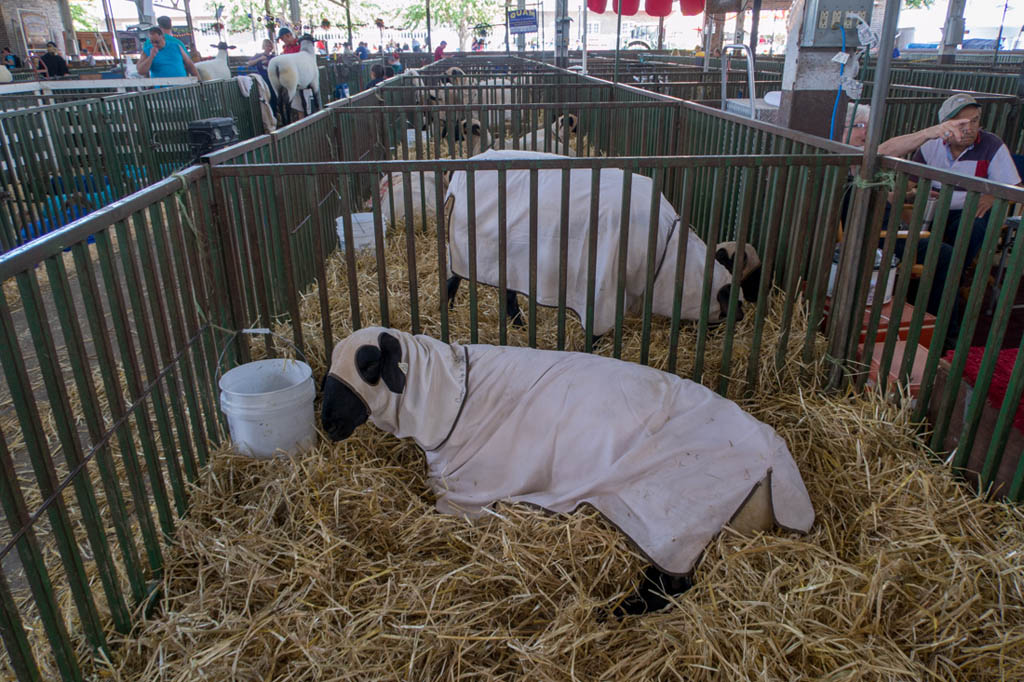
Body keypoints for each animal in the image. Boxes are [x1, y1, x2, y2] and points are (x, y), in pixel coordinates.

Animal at [446, 151, 761, 337]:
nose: (742, 318)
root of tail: (459, 175)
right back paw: (449, 311)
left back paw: (518, 325)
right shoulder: (602, 289)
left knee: (509, 292)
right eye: (731, 302)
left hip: (510, 258)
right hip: (464, 248)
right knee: (453, 280)